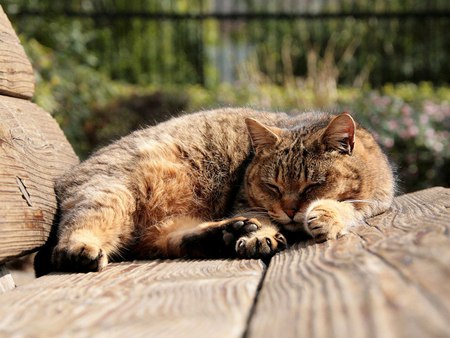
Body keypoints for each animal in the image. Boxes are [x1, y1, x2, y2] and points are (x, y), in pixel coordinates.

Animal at [43, 108, 394, 272]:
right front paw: (260, 235)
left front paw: (326, 214)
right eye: (272, 185)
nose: (291, 211)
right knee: (72, 238)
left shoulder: (377, 200)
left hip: (159, 225)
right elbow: (259, 216)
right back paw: (80, 250)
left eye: (313, 185)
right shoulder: (247, 200)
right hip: (110, 194)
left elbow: (349, 206)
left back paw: (224, 233)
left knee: (169, 239)